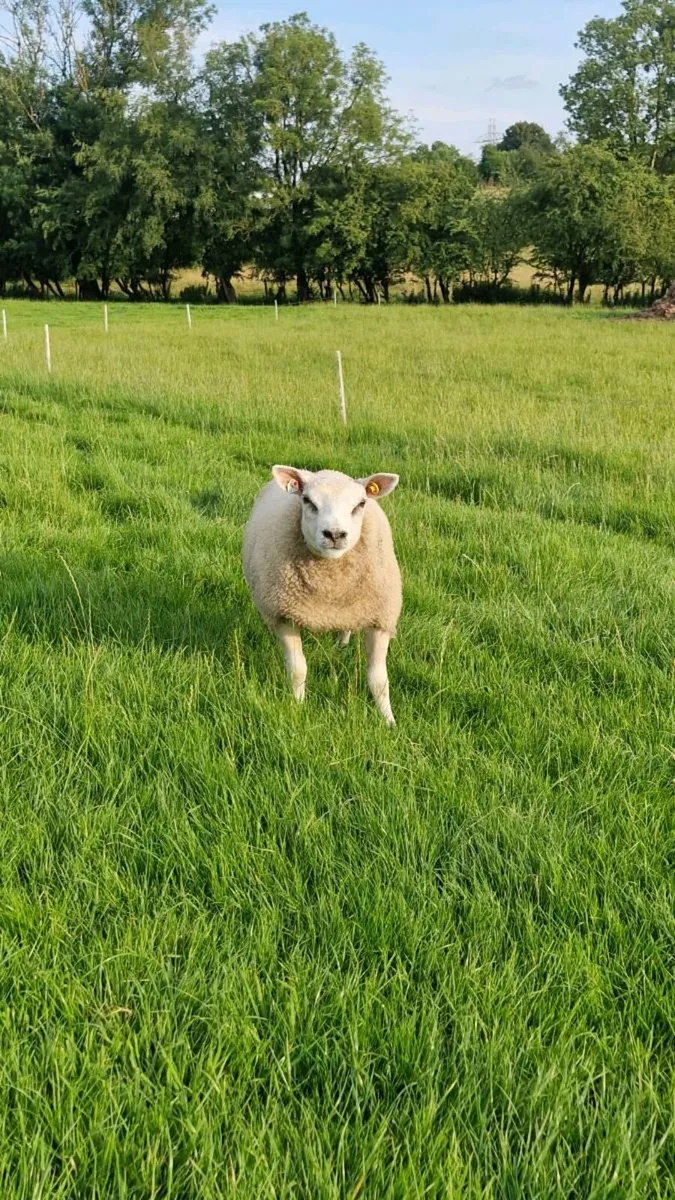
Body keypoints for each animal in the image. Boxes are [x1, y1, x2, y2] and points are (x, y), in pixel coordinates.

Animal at [243, 465, 402, 725]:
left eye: (360, 503)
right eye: (307, 501)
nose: (335, 534)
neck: (330, 590)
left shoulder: (380, 618)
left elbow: (379, 681)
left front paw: (388, 721)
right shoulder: (285, 615)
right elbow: (298, 671)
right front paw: (297, 707)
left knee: (346, 626)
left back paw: (342, 644)